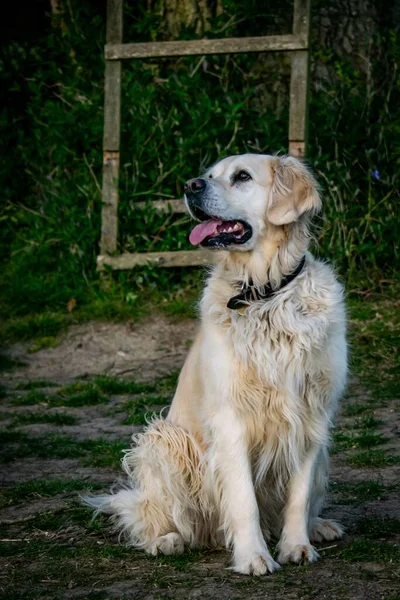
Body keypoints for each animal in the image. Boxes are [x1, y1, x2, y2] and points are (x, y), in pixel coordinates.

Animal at [85, 152, 346, 576]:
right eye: (208, 175)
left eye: (242, 176)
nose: (190, 185)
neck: (264, 295)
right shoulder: (230, 420)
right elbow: (243, 501)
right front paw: (254, 556)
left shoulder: (311, 416)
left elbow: (299, 495)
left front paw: (296, 546)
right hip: (163, 442)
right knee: (151, 517)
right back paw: (166, 540)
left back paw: (318, 526)